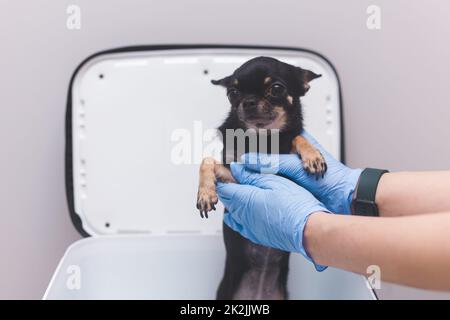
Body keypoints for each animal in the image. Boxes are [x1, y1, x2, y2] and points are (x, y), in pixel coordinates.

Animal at [195, 56, 326, 298]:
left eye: (276, 88)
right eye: (233, 93)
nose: (247, 101)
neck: (262, 139)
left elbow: (296, 137)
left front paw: (313, 155)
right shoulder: (233, 173)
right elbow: (206, 161)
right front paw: (205, 195)